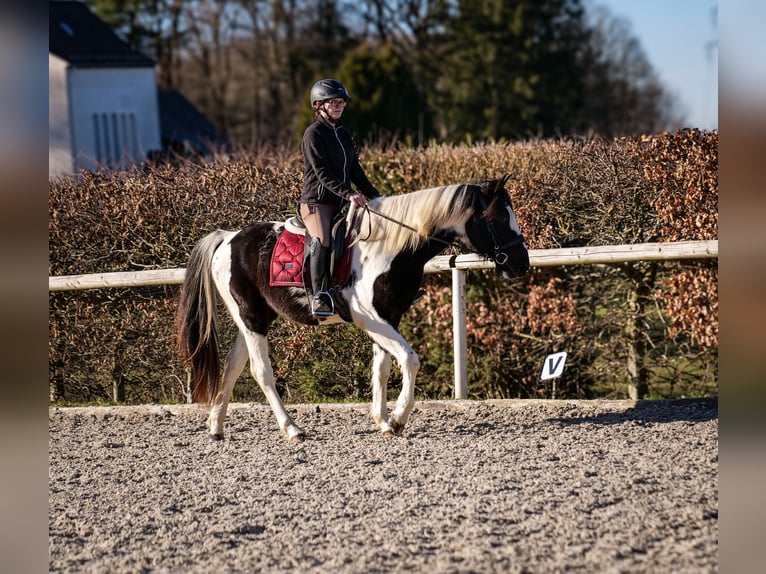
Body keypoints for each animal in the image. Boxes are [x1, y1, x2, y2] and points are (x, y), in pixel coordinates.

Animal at [177, 174, 532, 440]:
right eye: (500, 216)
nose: (521, 264)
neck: (393, 247)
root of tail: (227, 237)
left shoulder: (389, 316)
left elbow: (383, 367)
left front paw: (383, 421)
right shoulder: (369, 317)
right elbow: (409, 359)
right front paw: (399, 417)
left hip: (255, 318)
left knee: (233, 364)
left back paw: (216, 427)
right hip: (250, 317)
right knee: (261, 371)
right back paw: (292, 429)